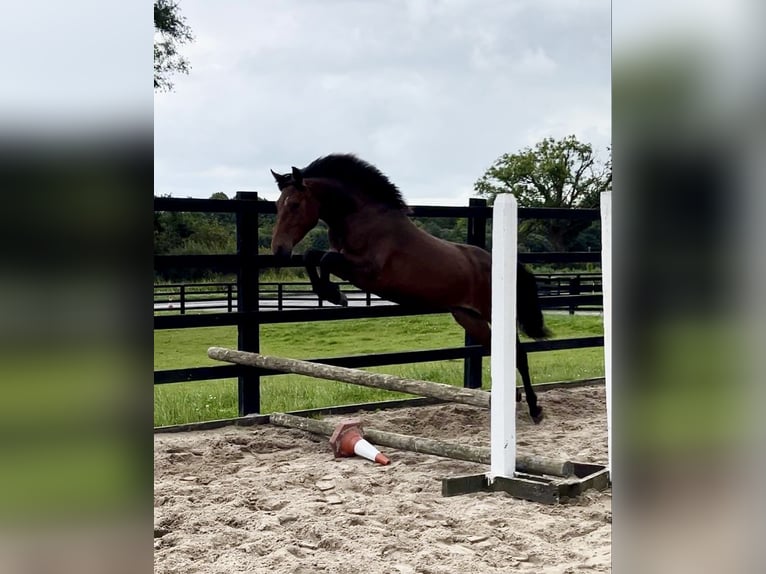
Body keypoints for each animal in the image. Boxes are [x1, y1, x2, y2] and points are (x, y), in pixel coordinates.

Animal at [270, 153, 552, 424]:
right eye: (277, 205)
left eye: (294, 205)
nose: (279, 250)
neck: (362, 218)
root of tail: (500, 264)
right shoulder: (346, 263)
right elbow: (312, 256)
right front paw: (331, 294)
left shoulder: (367, 272)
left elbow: (325, 259)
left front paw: (335, 295)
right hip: (469, 318)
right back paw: (515, 400)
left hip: (493, 313)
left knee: (519, 354)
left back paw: (535, 409)